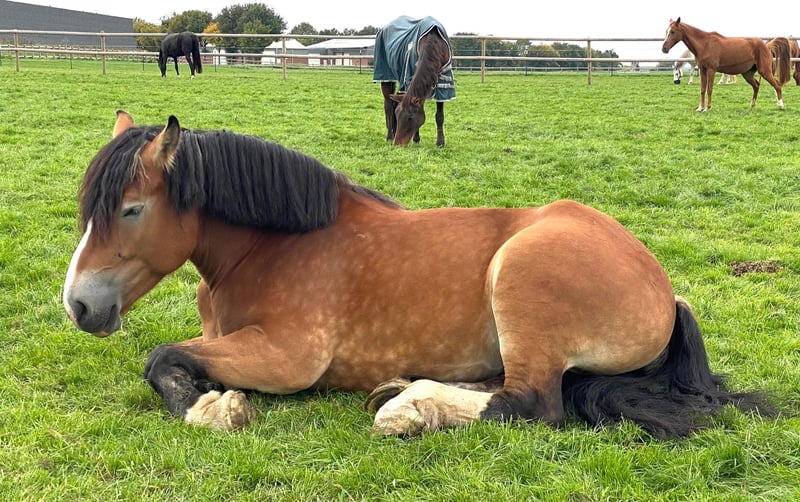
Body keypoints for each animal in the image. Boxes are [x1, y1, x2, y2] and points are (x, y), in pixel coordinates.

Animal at [62, 111, 770, 438]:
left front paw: (215, 407)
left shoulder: (287, 358)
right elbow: (171, 356)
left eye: (130, 208)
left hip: (521, 278)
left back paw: (409, 408)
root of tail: (666, 293)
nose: (79, 306)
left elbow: (159, 356)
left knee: (530, 403)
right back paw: (402, 389)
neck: (272, 249)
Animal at [373, 16, 455, 147]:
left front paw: (440, 143)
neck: (434, 41)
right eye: (398, 115)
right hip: (385, 76)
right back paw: (390, 136)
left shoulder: (443, 85)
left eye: (410, 118)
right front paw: (416, 139)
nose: (398, 144)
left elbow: (439, 116)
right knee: (388, 106)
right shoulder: (408, 77)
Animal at [662, 18, 790, 111]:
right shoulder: (703, 70)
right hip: (747, 74)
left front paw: (708, 108)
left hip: (765, 71)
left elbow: (709, 89)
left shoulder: (711, 70)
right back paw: (752, 105)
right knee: (757, 85)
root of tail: (766, 45)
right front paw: (700, 108)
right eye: (666, 31)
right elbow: (702, 89)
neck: (705, 44)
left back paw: (780, 105)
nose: (664, 49)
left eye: (672, 32)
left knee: (777, 85)